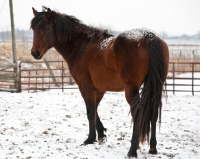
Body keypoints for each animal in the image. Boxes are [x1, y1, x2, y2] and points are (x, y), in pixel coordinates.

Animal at [30, 6, 169, 158]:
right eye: (33, 28)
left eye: (47, 28)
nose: (35, 53)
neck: (82, 46)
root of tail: (148, 37)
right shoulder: (99, 89)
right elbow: (95, 109)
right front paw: (101, 135)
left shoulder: (85, 86)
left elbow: (90, 111)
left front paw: (90, 139)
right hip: (156, 86)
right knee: (154, 112)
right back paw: (153, 148)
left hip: (131, 89)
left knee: (137, 112)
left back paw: (132, 150)